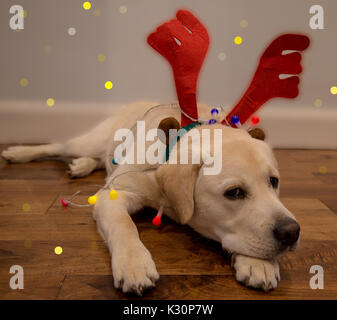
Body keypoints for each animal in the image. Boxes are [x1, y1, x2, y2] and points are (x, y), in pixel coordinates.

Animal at [0, 101, 300, 294]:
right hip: (89, 141)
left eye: (273, 182)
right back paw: (18, 152)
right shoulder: (114, 194)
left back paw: (81, 165)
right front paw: (134, 264)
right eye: (234, 192)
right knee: (57, 146)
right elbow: (124, 226)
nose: (292, 232)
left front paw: (258, 263)